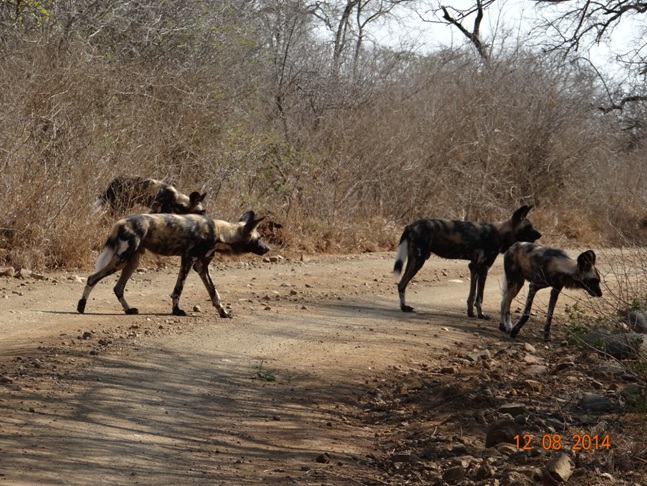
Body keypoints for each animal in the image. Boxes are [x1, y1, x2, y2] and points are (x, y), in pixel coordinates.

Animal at [77, 211, 270, 318]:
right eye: (259, 238)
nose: (267, 248)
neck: (220, 232)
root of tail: (120, 222)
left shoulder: (201, 267)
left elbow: (214, 293)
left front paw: (224, 313)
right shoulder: (188, 259)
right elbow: (178, 290)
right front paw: (177, 311)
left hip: (132, 262)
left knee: (118, 288)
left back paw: (129, 310)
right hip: (122, 259)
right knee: (92, 278)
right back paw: (81, 306)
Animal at [394, 205, 540, 318]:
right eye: (528, 227)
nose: (540, 234)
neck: (500, 233)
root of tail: (410, 225)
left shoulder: (474, 266)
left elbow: (471, 295)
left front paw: (471, 313)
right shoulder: (483, 268)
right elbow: (479, 298)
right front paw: (481, 315)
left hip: (414, 260)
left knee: (401, 284)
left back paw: (404, 307)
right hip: (419, 261)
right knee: (402, 284)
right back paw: (404, 307)